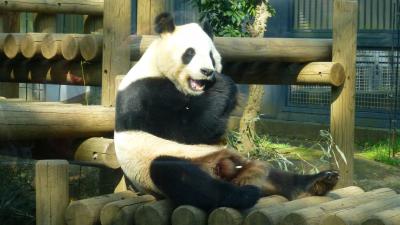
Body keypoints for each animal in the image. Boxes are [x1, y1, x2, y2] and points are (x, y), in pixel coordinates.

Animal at [114, 12, 340, 211]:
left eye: (211, 55)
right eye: (190, 53)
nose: (207, 71)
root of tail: (221, 168)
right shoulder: (143, 94)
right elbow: (187, 130)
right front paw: (224, 84)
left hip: (239, 160)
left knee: (270, 172)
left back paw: (317, 181)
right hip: (158, 161)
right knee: (178, 175)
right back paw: (242, 195)